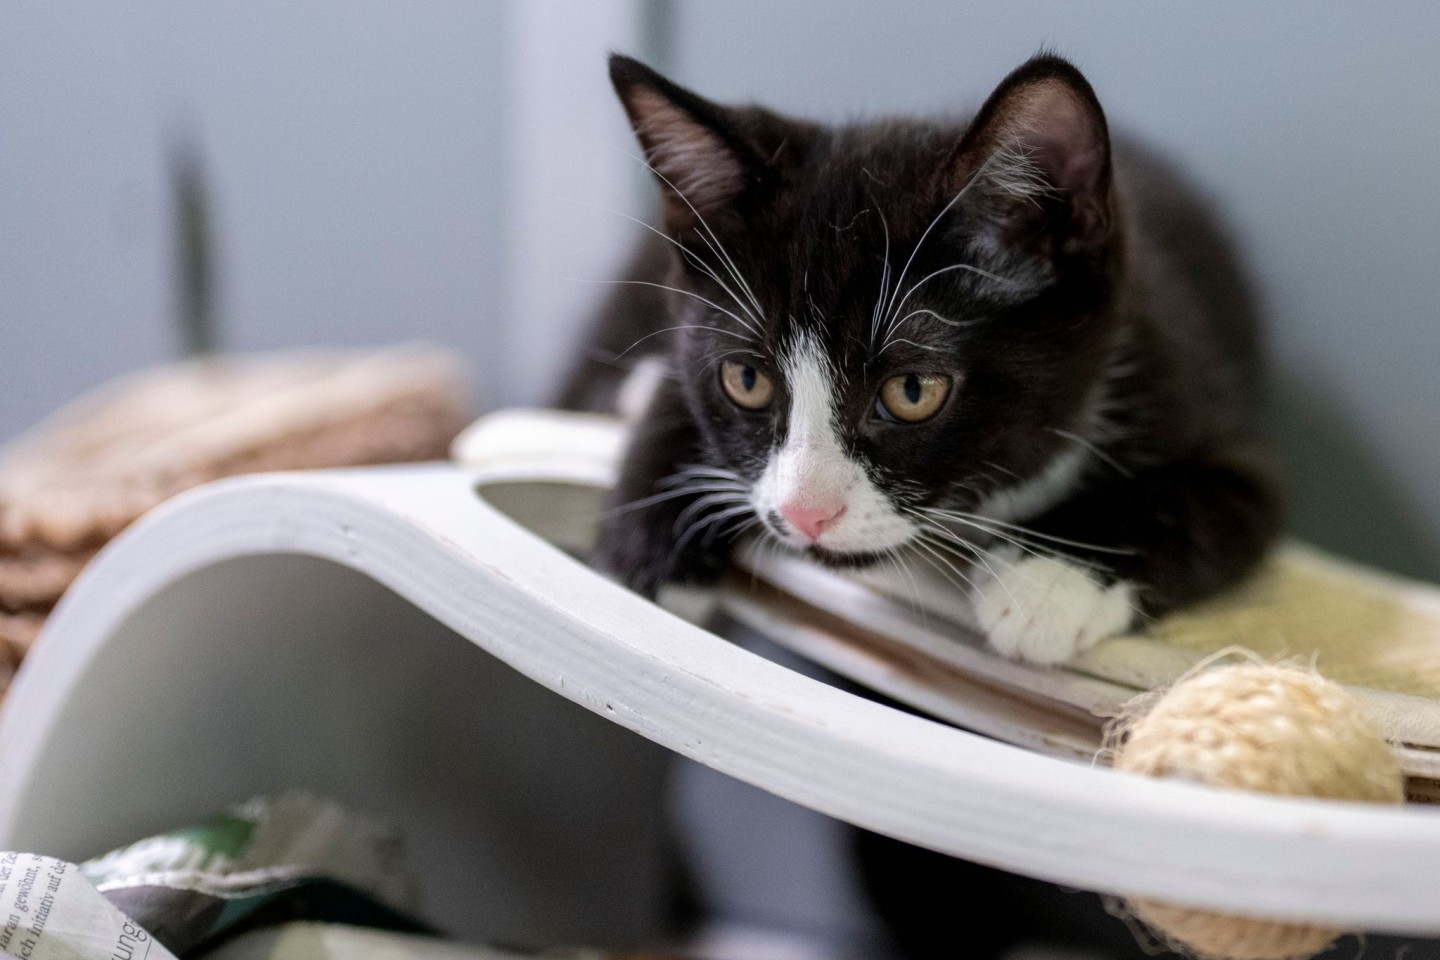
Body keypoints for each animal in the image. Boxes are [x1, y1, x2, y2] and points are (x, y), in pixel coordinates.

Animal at [561, 54, 1284, 667]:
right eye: (746, 379)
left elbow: (1194, 501)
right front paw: (642, 553)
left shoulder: (1202, 399)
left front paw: (1050, 578)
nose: (806, 514)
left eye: (912, 390)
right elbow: (676, 394)